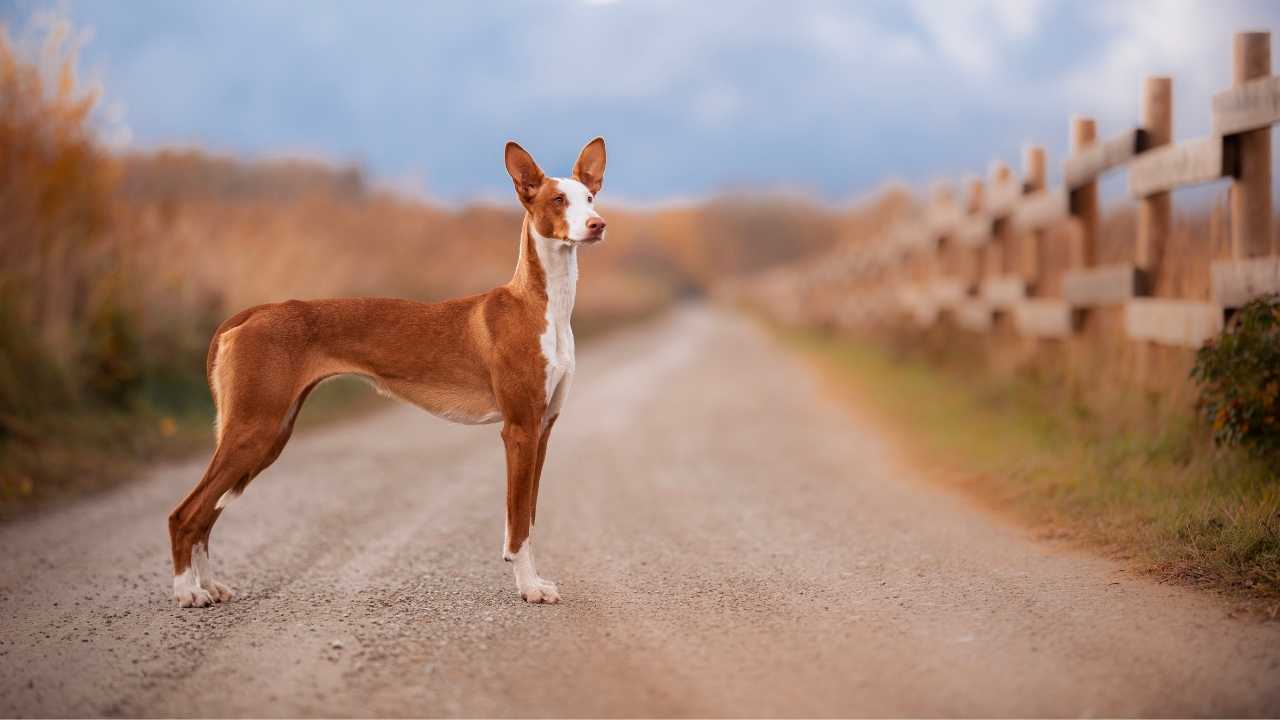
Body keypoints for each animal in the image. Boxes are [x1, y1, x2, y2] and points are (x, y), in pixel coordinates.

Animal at [170, 135, 609, 604]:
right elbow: (519, 522)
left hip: (267, 435)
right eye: (558, 200)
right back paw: (187, 592)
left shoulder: (543, 428)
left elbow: (529, 514)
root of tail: (252, 313)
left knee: (205, 515)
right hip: (254, 429)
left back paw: (209, 585)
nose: (598, 224)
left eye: (589, 197)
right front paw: (529, 588)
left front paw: (532, 580)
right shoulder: (519, 429)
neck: (541, 306)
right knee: (184, 514)